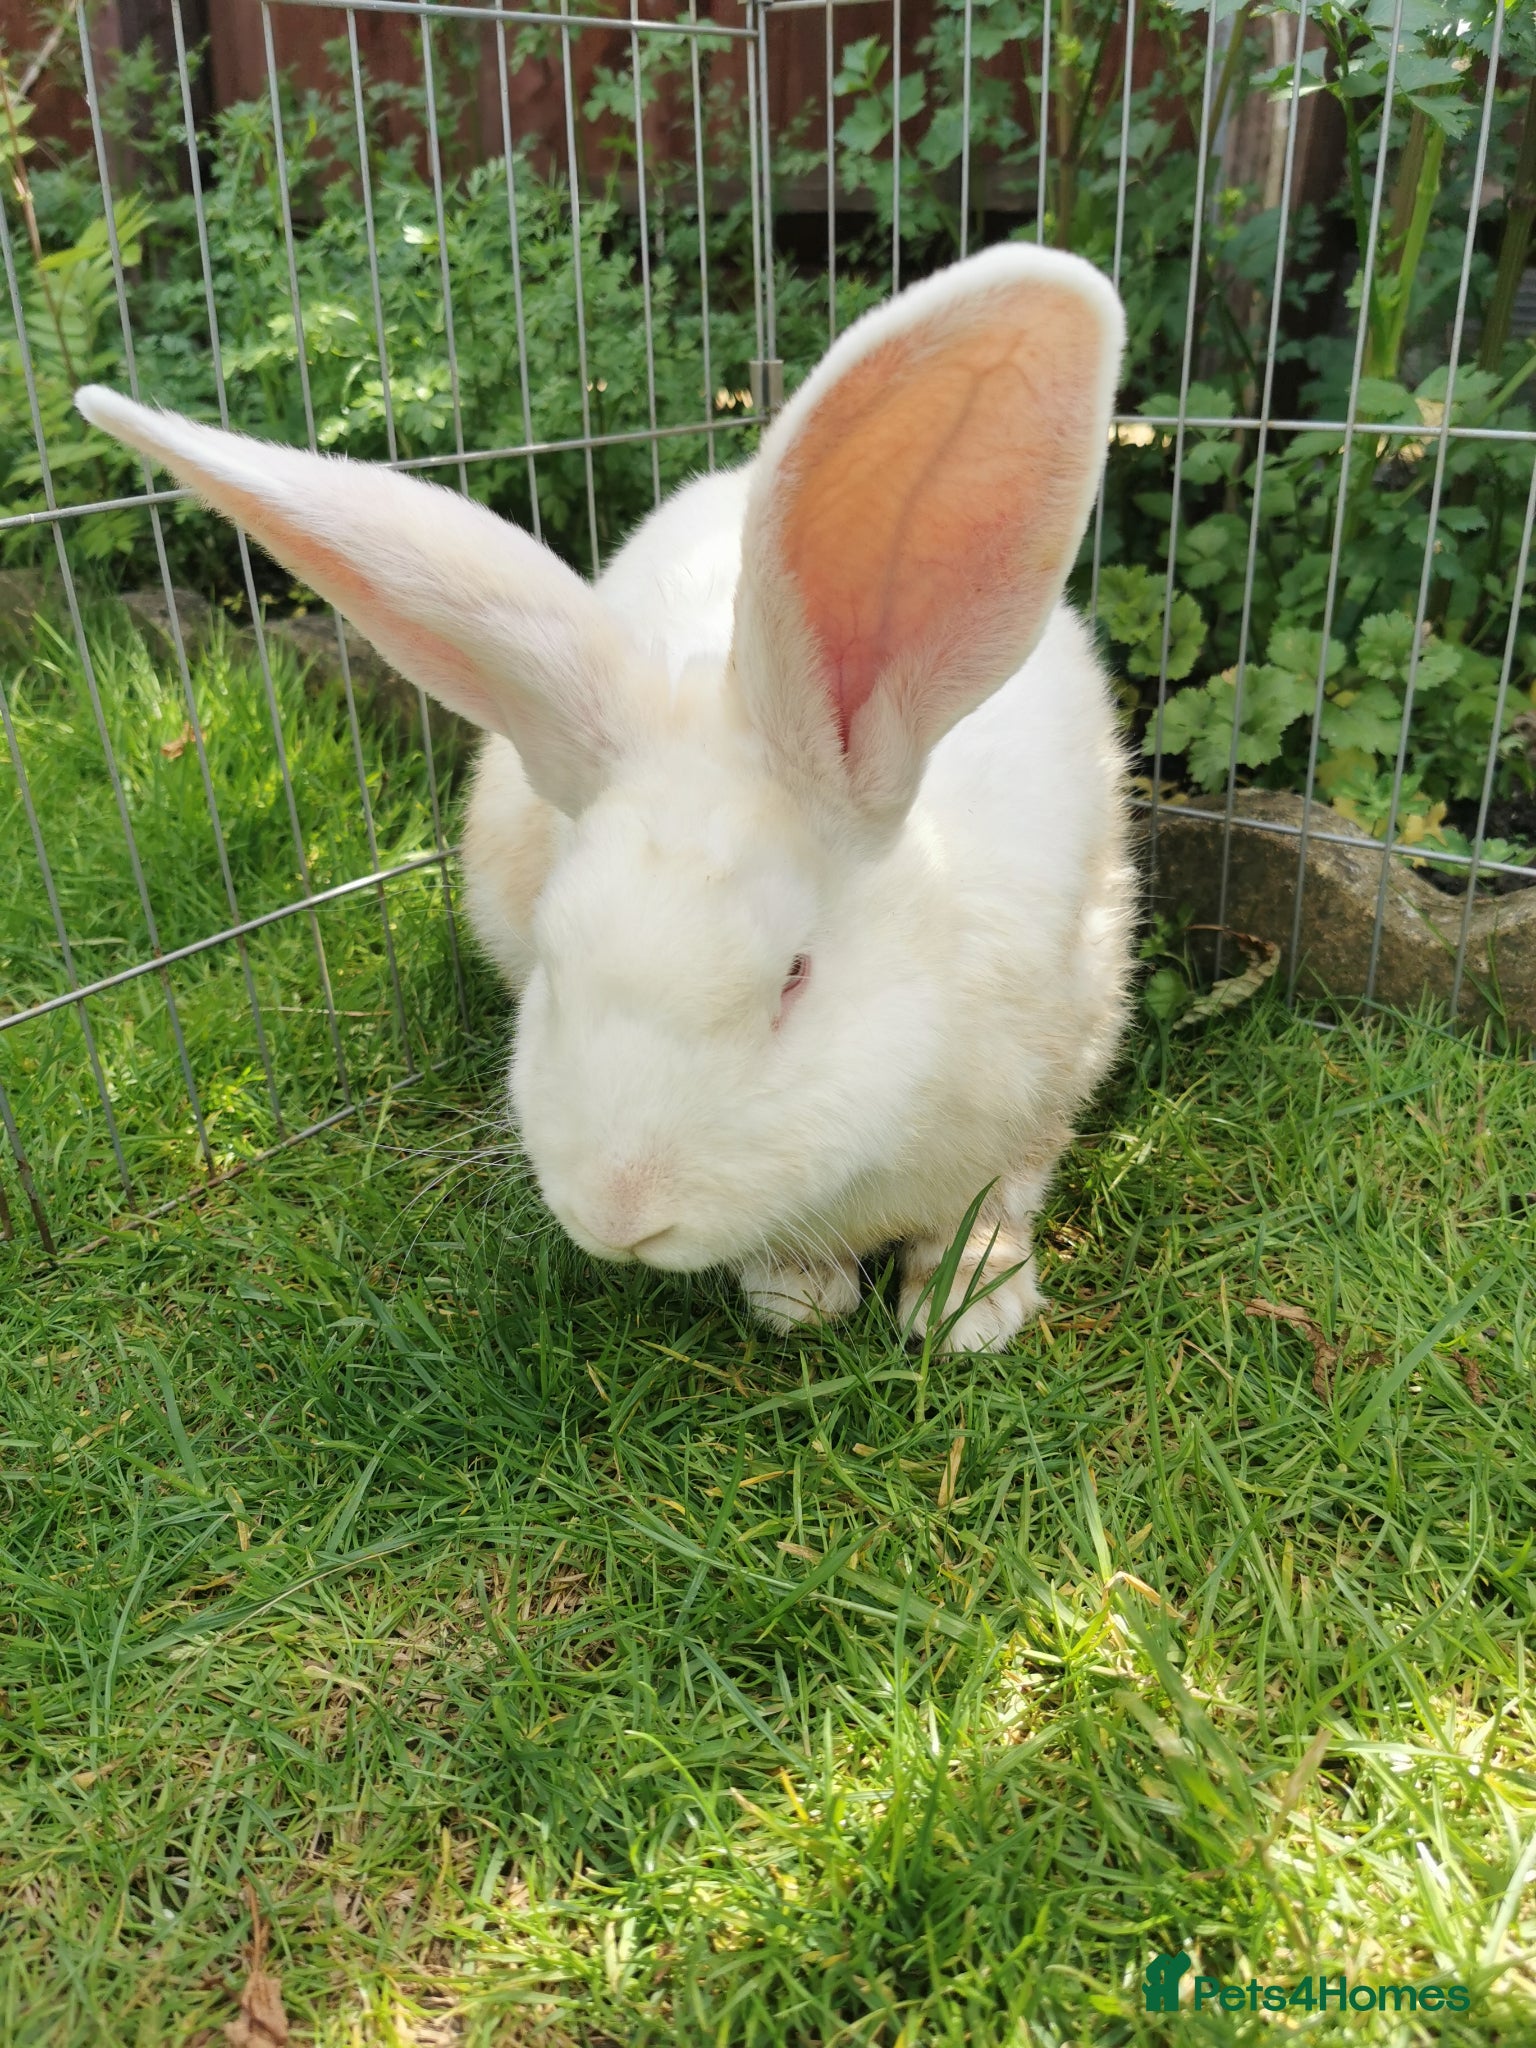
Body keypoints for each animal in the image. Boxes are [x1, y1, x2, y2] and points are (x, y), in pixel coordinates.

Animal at [76, 241, 1134, 1353]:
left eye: (795, 975)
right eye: (553, 965)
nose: (620, 1214)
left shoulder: (1050, 1072)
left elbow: (995, 1200)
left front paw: (970, 1308)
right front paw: (795, 1293)